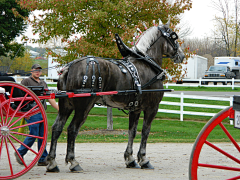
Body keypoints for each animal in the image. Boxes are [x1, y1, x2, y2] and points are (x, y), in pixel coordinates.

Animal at [47, 22, 186, 173]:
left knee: (57, 128)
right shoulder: (152, 108)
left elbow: (132, 131)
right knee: (72, 129)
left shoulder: (135, 109)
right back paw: (73, 162)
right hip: (84, 107)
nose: (182, 55)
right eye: (174, 37)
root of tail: (69, 67)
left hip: (65, 105)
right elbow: (145, 131)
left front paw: (130, 159)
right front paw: (143, 159)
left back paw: (52, 162)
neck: (147, 63)